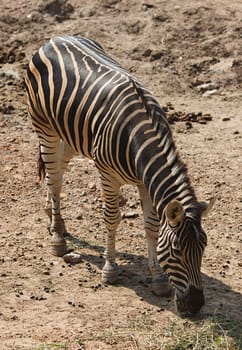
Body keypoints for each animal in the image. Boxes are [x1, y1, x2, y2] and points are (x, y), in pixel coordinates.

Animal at [24, 35, 214, 314]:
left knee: (56, 168)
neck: (139, 141)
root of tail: (56, 38)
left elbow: (151, 225)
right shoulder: (107, 175)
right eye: (177, 250)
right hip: (43, 125)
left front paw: (158, 278)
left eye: (204, 247)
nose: (196, 304)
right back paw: (58, 238)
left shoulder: (145, 182)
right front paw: (110, 269)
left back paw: (52, 217)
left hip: (72, 135)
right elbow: (112, 219)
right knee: (55, 177)